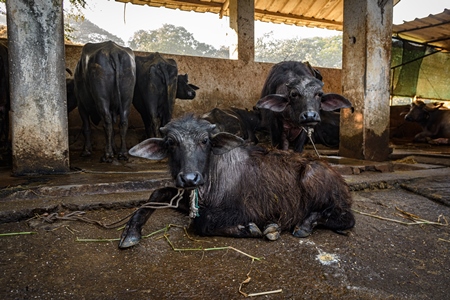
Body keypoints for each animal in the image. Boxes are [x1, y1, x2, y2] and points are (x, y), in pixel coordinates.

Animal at [118, 114, 356, 248]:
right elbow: (157, 193)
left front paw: (251, 229)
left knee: (347, 218)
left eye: (205, 141)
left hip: (312, 177)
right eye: (171, 143)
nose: (190, 178)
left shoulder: (245, 210)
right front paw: (130, 233)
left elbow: (201, 222)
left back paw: (304, 225)